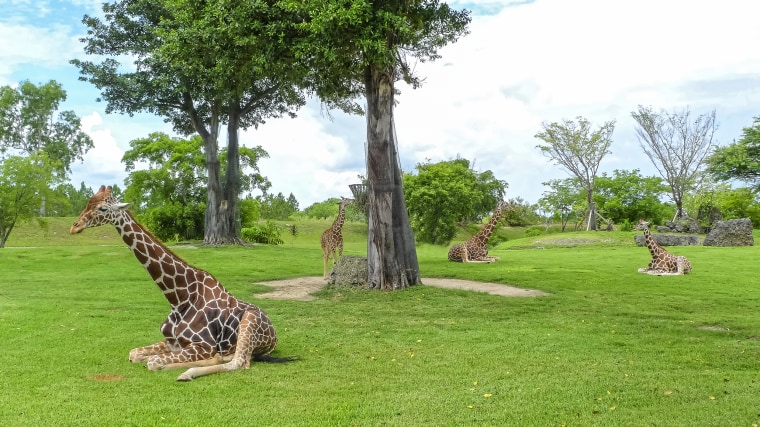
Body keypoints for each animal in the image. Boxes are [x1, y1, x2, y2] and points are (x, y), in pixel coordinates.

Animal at [70, 186, 296, 382]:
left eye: (102, 208)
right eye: (88, 202)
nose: (75, 227)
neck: (178, 298)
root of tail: (274, 334)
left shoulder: (202, 345)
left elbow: (153, 362)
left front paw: (165, 365)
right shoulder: (173, 341)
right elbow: (134, 354)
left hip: (248, 322)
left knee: (239, 362)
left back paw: (187, 373)